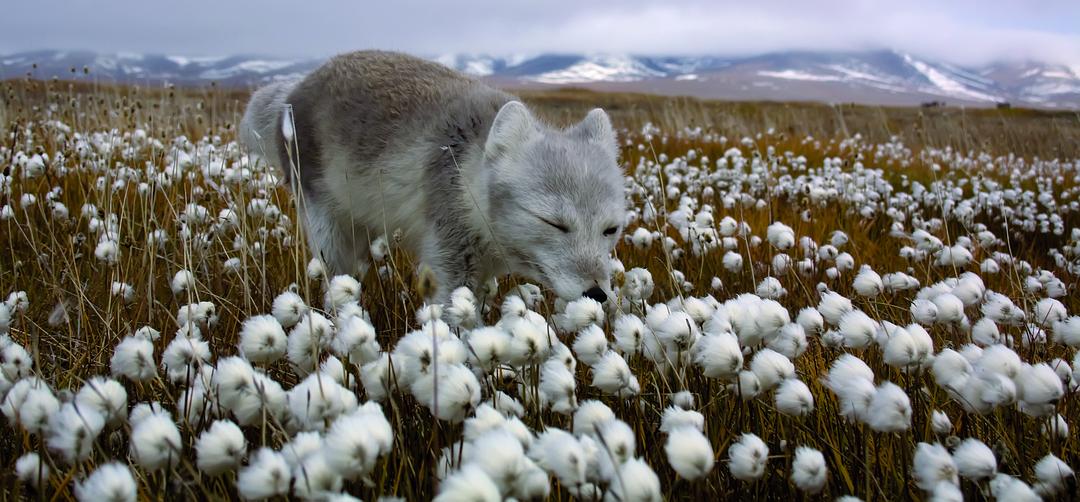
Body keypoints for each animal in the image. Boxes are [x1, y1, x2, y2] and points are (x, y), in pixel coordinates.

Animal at [238, 50, 626, 302]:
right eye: (554, 223)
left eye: (611, 230)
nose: (597, 294)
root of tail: (294, 87)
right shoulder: (449, 261)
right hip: (329, 232)